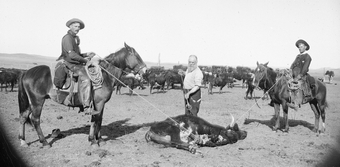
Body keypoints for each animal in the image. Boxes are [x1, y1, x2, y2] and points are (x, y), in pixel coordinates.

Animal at [17, 42, 146, 147]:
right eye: (136, 55)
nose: (145, 70)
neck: (105, 75)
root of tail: (26, 72)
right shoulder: (98, 103)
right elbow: (96, 120)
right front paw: (93, 141)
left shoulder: (100, 104)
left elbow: (99, 120)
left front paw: (99, 139)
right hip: (37, 101)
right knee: (35, 119)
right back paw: (44, 142)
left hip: (30, 102)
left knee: (23, 117)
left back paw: (23, 141)